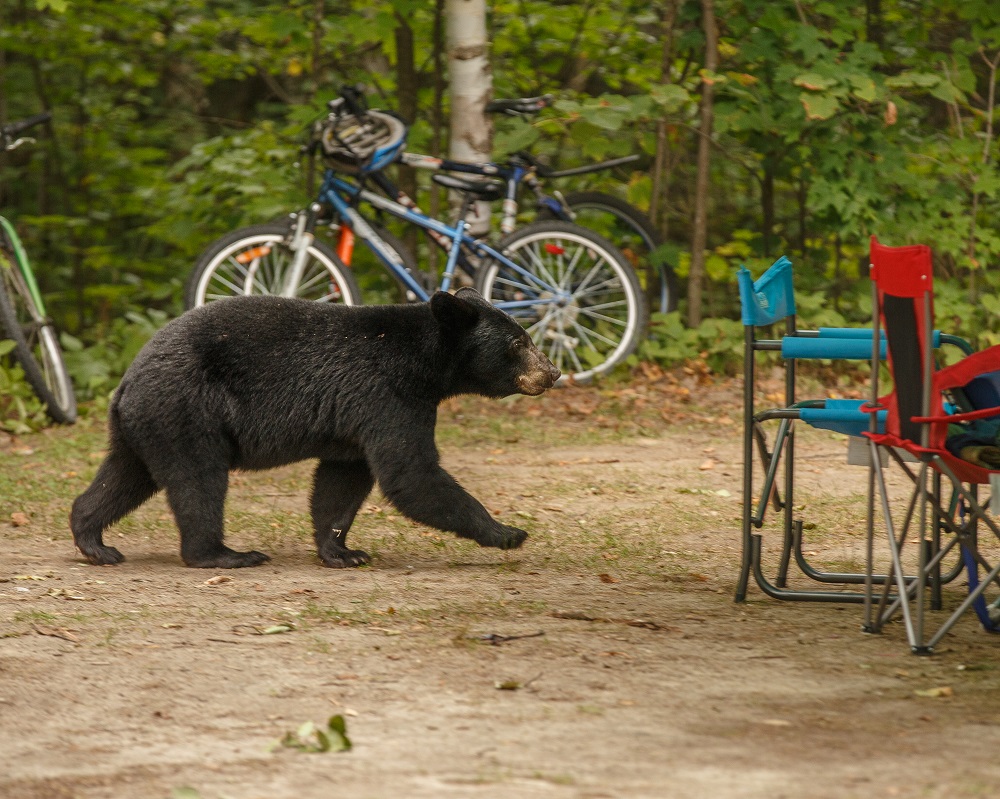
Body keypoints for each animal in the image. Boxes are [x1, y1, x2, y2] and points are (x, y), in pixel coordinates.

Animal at [70, 290, 560, 572]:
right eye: (519, 342)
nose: (552, 372)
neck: (424, 364)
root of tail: (127, 380)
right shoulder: (387, 395)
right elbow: (411, 474)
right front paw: (507, 532)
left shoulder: (355, 421)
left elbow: (341, 482)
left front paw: (343, 551)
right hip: (187, 409)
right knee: (198, 481)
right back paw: (225, 554)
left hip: (146, 424)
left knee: (125, 476)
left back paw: (94, 541)